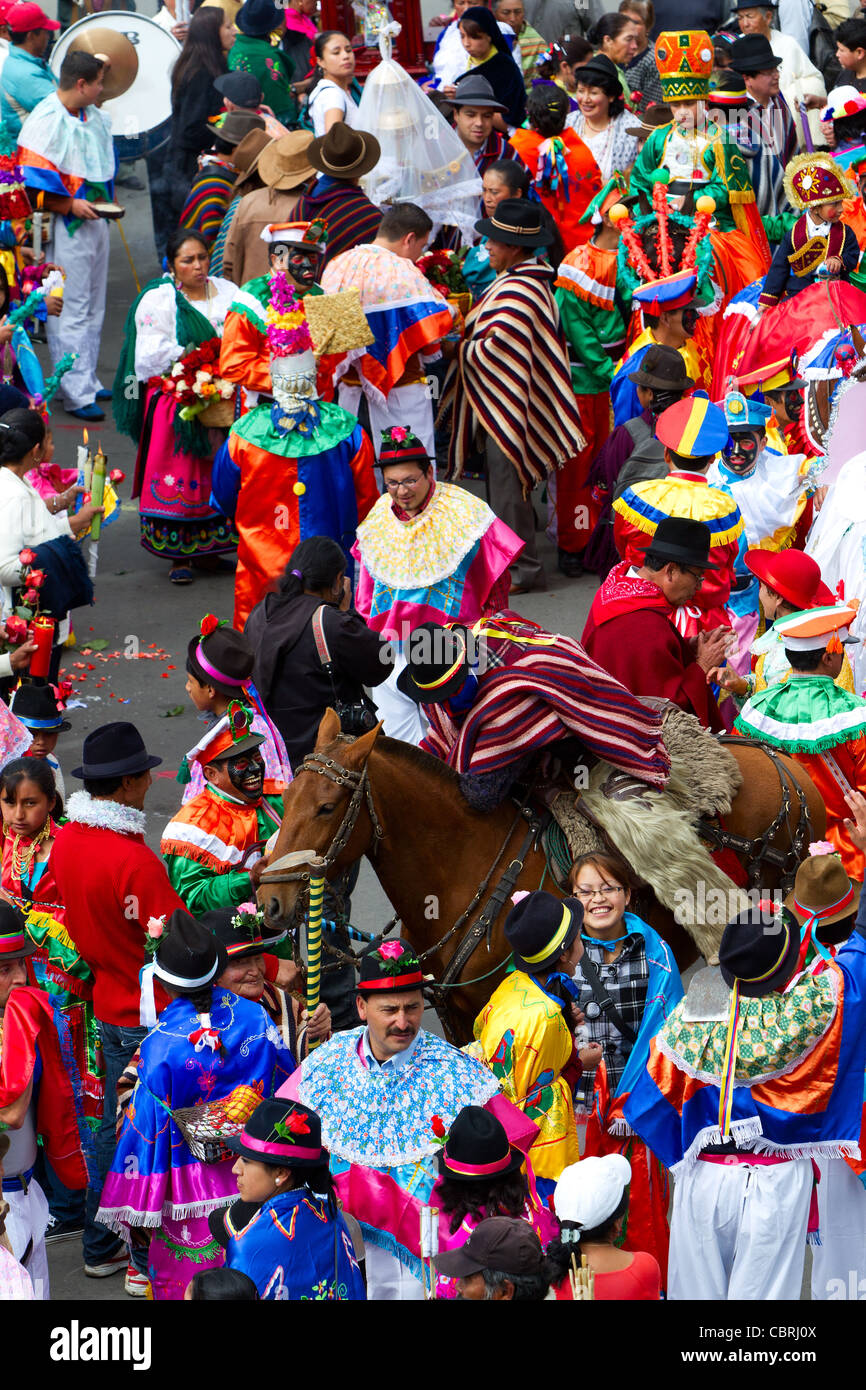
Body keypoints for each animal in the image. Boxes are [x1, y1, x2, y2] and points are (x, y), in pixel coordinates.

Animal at [262, 711, 828, 1039]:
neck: (468, 876)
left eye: (327, 807)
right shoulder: (457, 1018)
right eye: (285, 798)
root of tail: (784, 762)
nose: (270, 901)